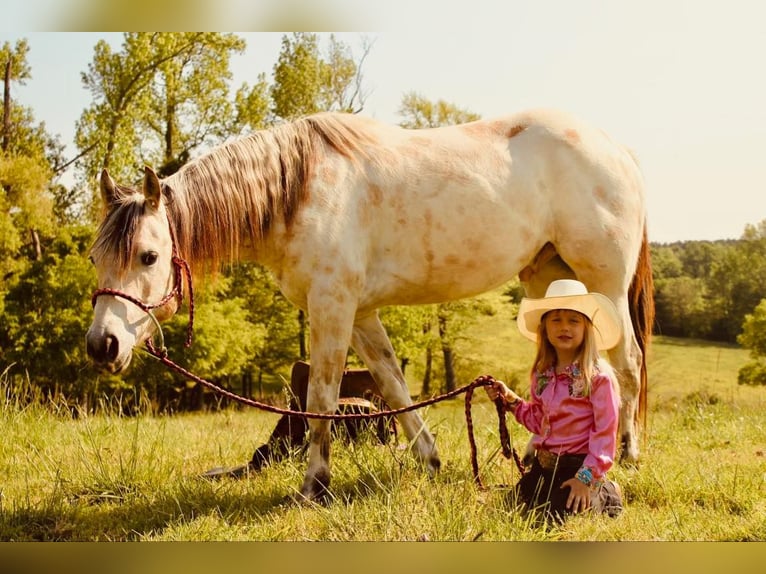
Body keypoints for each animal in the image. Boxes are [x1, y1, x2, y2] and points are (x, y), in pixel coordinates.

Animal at [87, 109, 656, 504]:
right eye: (95, 257)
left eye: (149, 255)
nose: (101, 345)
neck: (299, 191)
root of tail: (619, 151)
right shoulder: (359, 314)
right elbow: (393, 384)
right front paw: (429, 460)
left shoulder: (332, 307)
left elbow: (320, 397)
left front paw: (314, 486)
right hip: (548, 277)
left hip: (602, 282)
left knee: (625, 365)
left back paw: (628, 453)